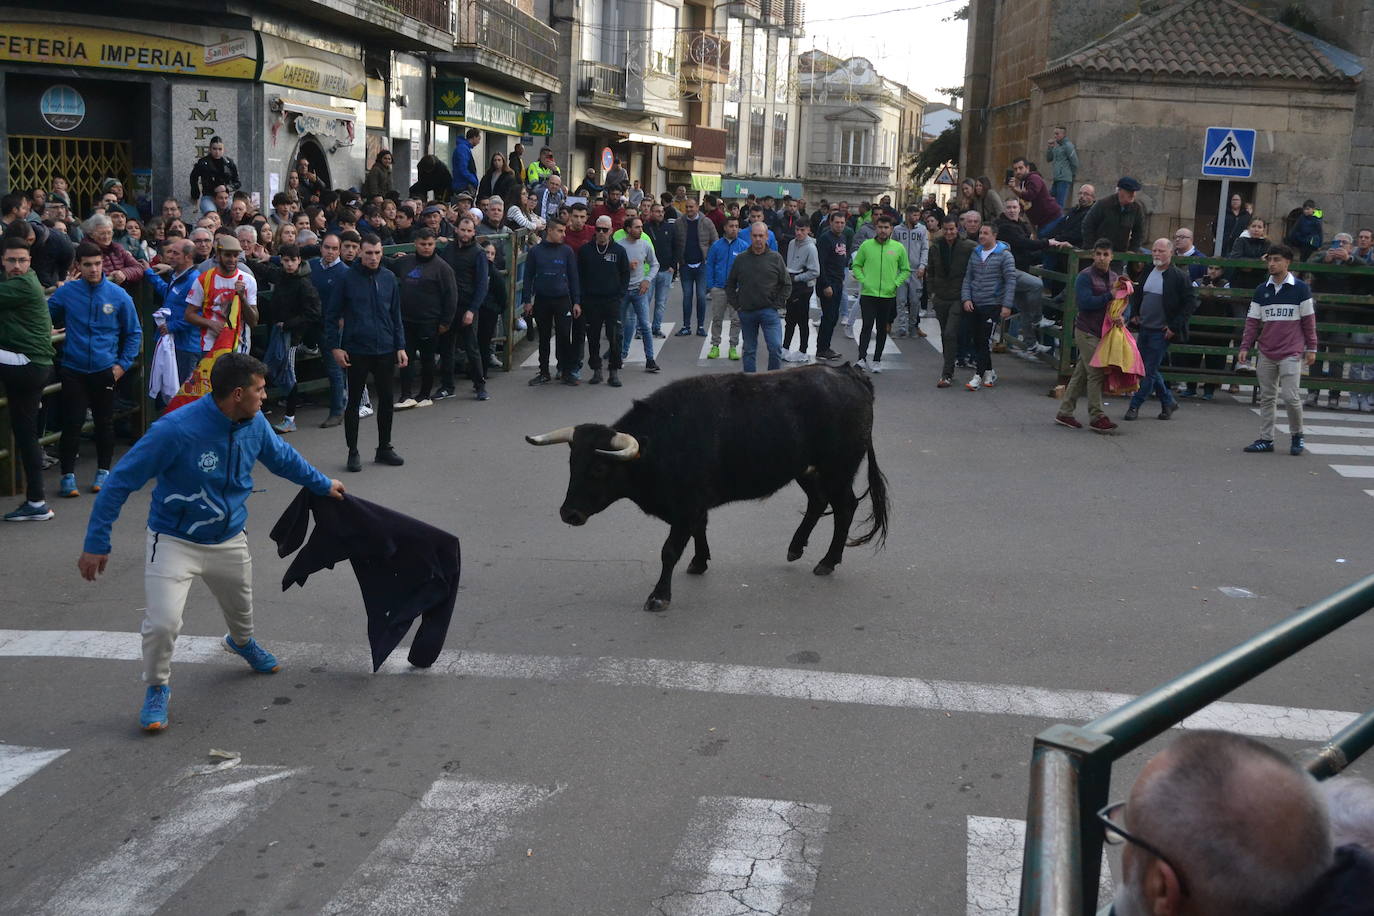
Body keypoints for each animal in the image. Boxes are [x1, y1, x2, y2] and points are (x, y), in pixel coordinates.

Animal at [524, 362, 890, 612]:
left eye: (600, 468)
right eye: (572, 464)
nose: (568, 513)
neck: (660, 441)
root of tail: (849, 374)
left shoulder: (686, 506)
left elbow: (670, 550)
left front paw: (659, 596)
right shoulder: (694, 505)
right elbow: (700, 529)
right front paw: (699, 562)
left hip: (838, 470)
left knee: (844, 507)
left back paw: (828, 561)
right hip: (807, 470)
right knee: (817, 501)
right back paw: (795, 547)